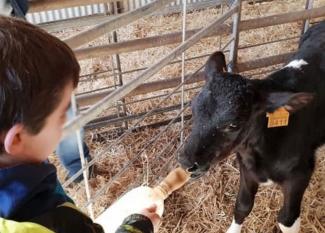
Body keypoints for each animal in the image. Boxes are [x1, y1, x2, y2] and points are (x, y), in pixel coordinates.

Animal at [177, 20, 324, 232]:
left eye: (234, 124)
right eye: (193, 108)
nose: (186, 162)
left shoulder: (300, 174)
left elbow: (287, 219)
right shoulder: (247, 169)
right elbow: (242, 206)